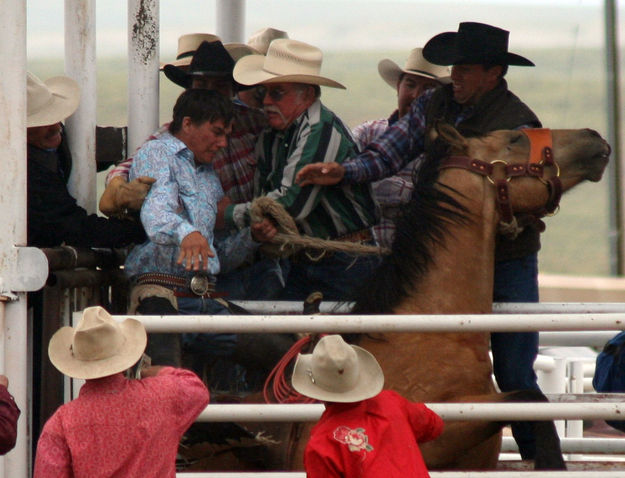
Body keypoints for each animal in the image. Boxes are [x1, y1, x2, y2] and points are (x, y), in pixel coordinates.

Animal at [276, 123, 608, 470]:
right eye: (514, 138)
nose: (593, 136)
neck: (433, 329)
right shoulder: (438, 429)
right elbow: (529, 398)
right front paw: (552, 459)